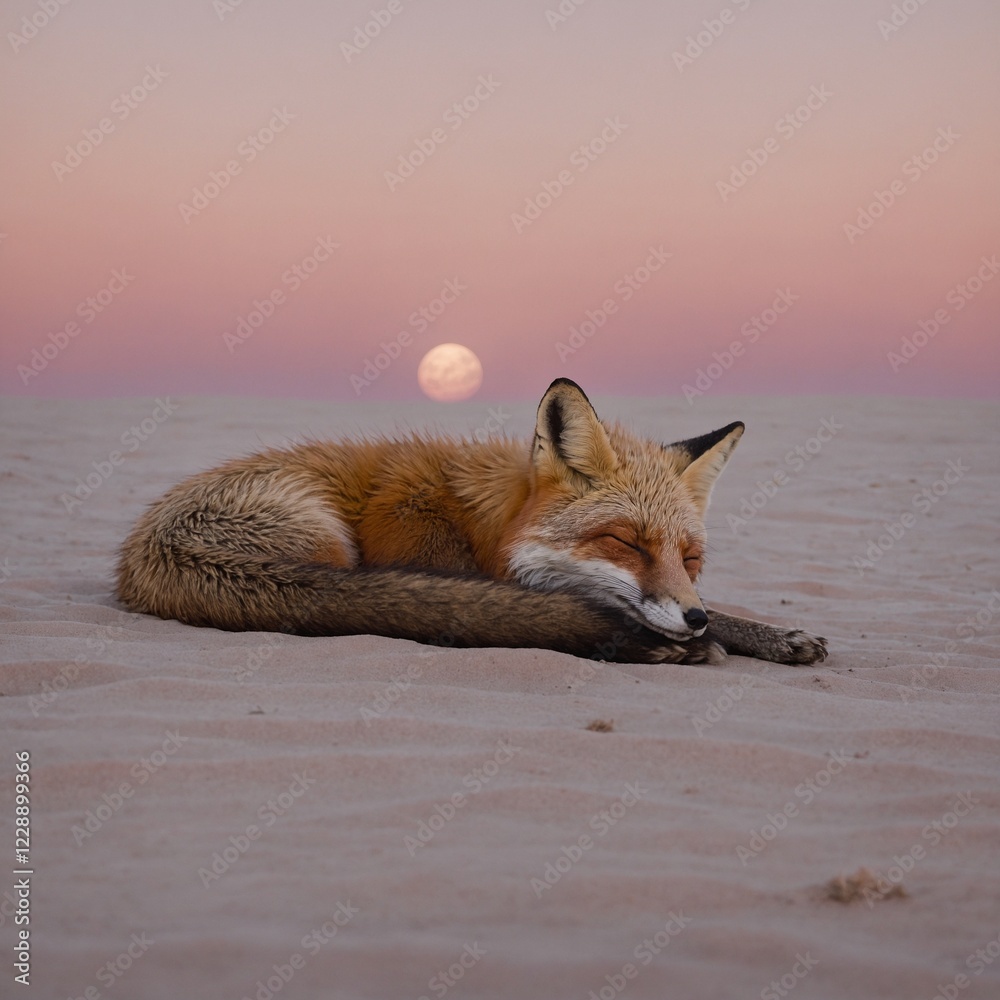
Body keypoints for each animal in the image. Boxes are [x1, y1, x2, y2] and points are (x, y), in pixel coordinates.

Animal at [116, 378, 827, 666]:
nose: (693, 618)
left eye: (692, 557)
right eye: (624, 541)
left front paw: (773, 635)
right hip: (327, 545)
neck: (484, 526)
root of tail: (144, 552)